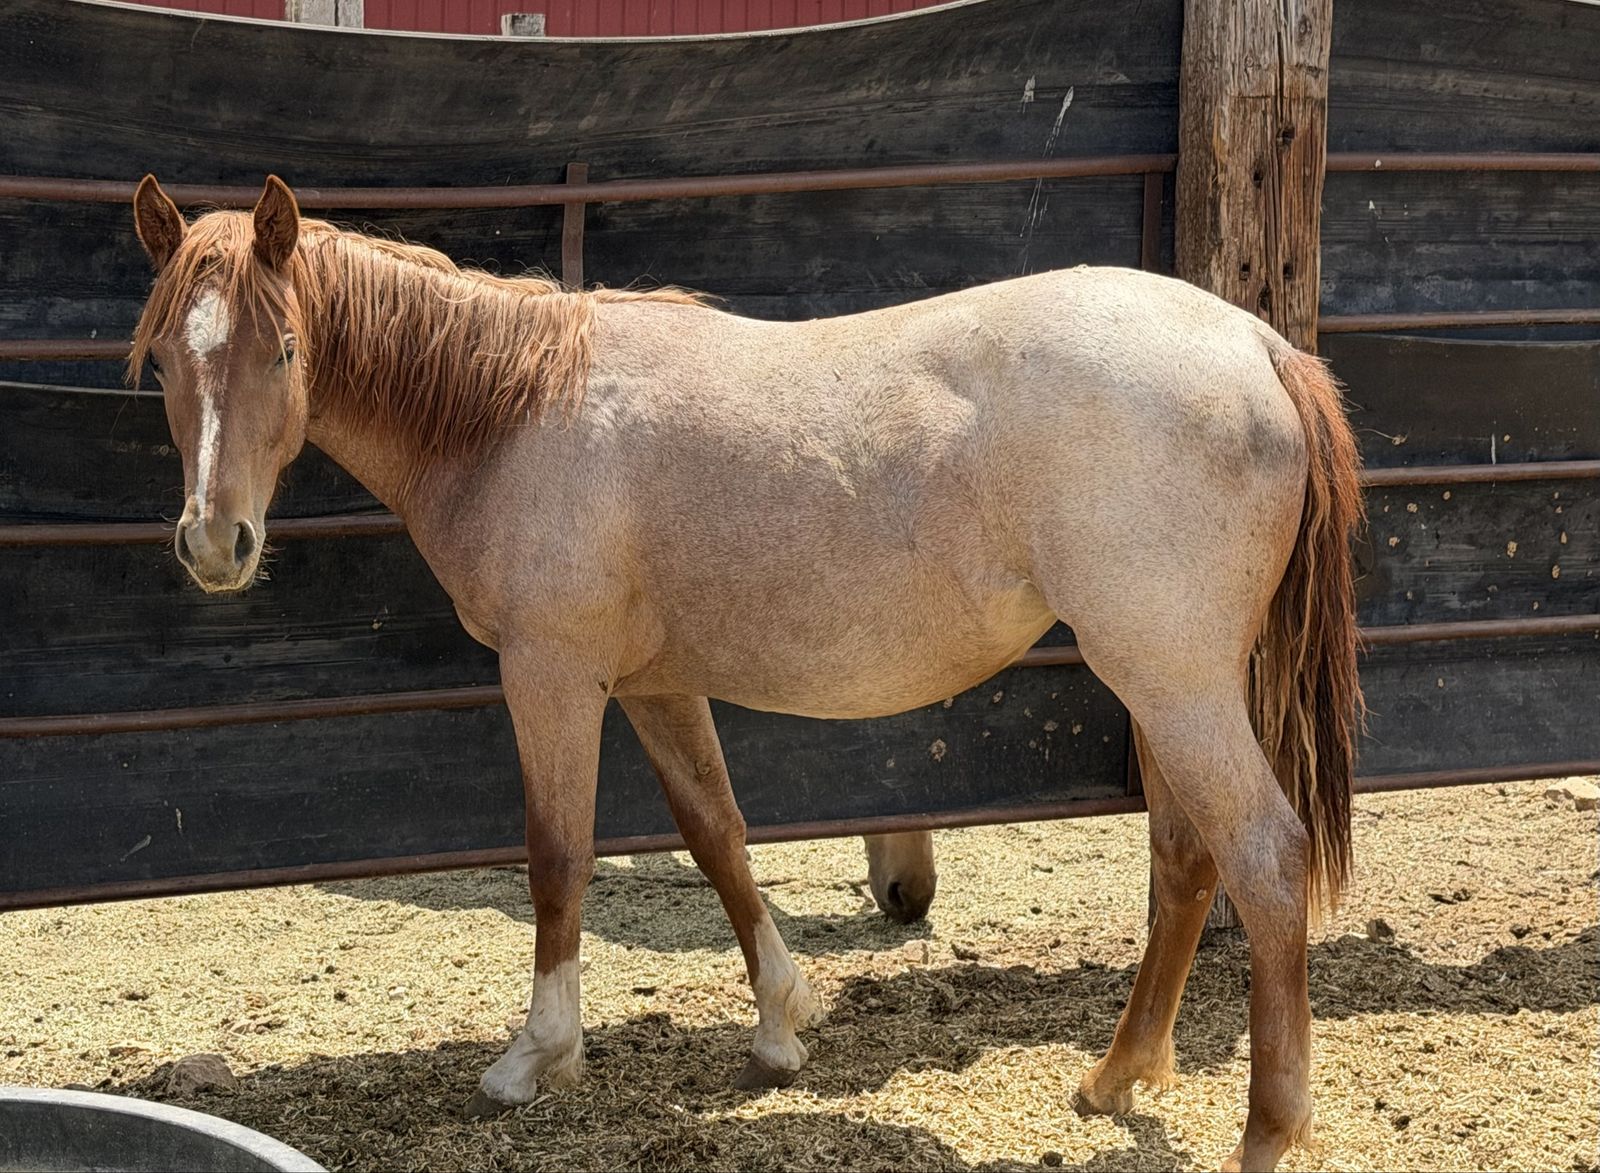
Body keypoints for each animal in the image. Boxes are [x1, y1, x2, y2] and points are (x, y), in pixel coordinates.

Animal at [127, 174, 1362, 1172]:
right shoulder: (656, 686)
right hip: (1163, 684)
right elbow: (718, 836)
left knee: (1264, 857)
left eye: (283, 350)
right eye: (169, 362)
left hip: (1173, 680)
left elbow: (556, 858)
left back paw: (1267, 1131)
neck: (517, 409)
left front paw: (538, 1055)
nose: (214, 544)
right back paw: (1114, 1079)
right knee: (1185, 858)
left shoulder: (553, 677)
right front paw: (779, 1026)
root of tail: (1257, 347)